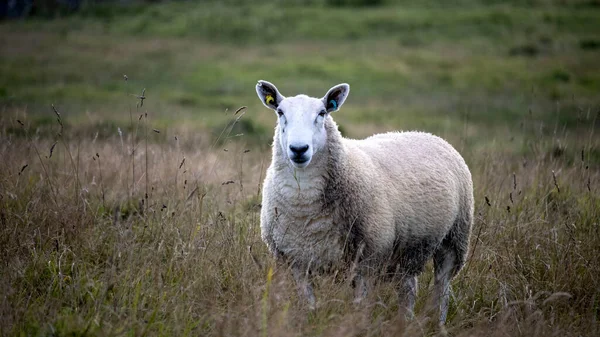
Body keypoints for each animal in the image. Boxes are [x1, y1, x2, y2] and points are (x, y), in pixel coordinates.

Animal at [255, 79, 476, 322]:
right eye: (280, 112)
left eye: (322, 113)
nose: (298, 149)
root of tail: (427, 134)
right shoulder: (297, 262)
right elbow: (308, 305)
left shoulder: (367, 261)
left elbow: (359, 307)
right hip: (410, 249)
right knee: (408, 287)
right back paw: (406, 322)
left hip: (455, 237)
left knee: (442, 287)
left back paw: (438, 323)